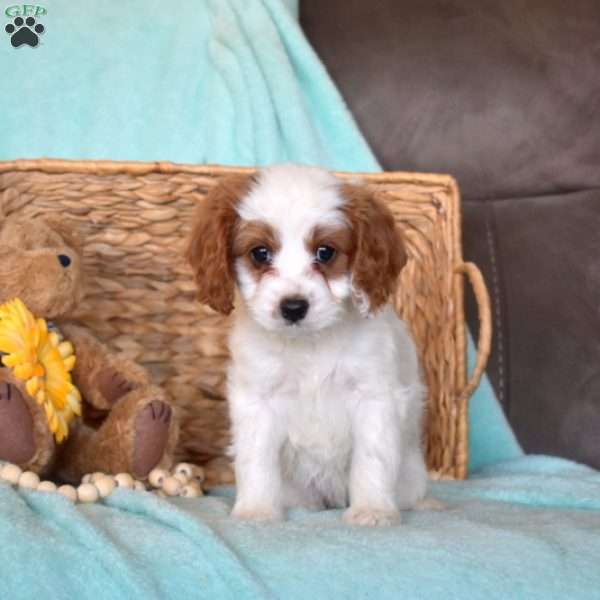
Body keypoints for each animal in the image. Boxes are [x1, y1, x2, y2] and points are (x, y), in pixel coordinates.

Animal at [186, 164, 426, 524]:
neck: (309, 343)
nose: (293, 307)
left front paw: (372, 510)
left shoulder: (374, 397)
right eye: (260, 253)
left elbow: (372, 458)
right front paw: (257, 510)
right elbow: (257, 460)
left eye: (325, 252)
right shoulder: (258, 400)